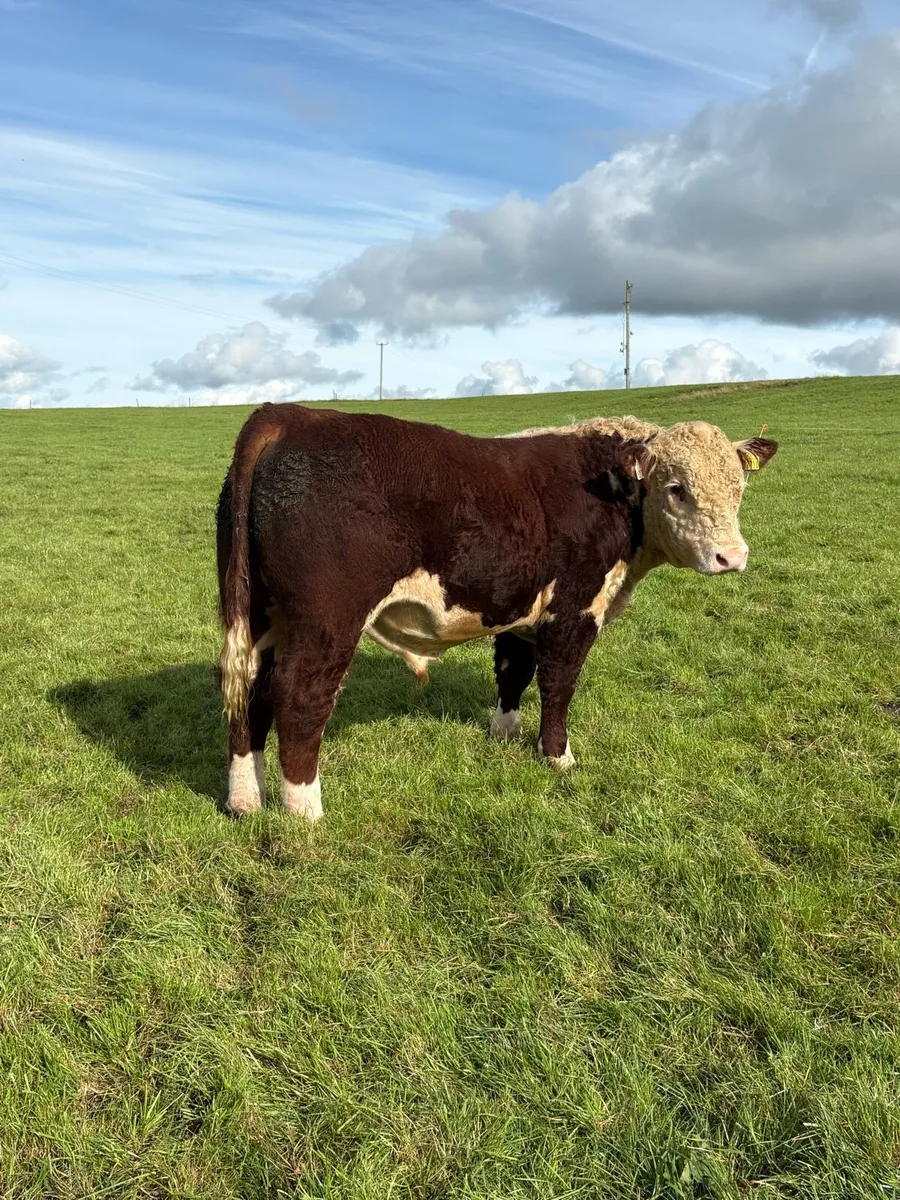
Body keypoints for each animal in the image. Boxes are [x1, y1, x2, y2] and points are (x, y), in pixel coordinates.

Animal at [216, 403, 777, 819]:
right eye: (677, 488)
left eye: (739, 488)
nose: (732, 557)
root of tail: (292, 415)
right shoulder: (574, 610)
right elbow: (558, 684)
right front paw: (558, 756)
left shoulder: (522, 609)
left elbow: (513, 671)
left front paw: (503, 735)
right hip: (328, 620)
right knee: (299, 696)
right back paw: (304, 810)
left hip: (261, 614)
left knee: (250, 690)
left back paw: (246, 800)